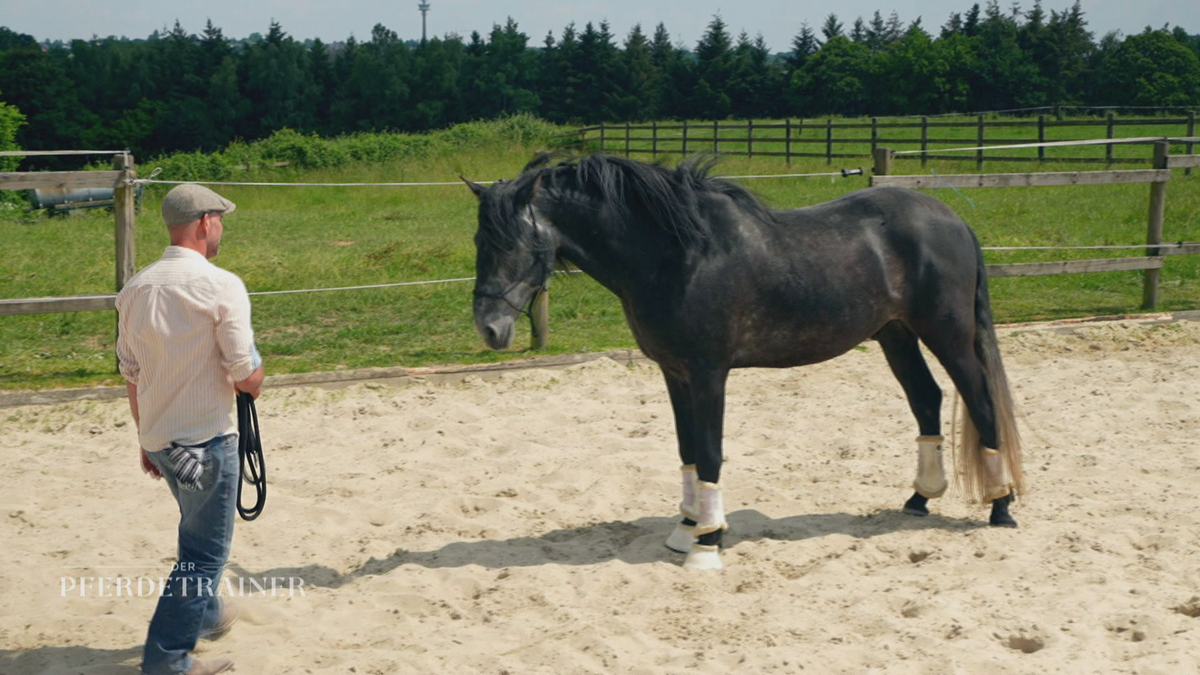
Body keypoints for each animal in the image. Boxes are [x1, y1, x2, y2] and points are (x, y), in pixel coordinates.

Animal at [463, 153, 1027, 566]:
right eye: (478, 240)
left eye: (514, 241)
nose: (489, 328)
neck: (677, 255)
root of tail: (952, 219)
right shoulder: (674, 373)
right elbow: (687, 450)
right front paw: (686, 528)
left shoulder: (709, 372)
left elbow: (711, 452)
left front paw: (707, 545)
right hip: (895, 335)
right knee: (926, 399)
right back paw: (918, 499)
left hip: (948, 335)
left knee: (980, 402)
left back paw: (1000, 506)